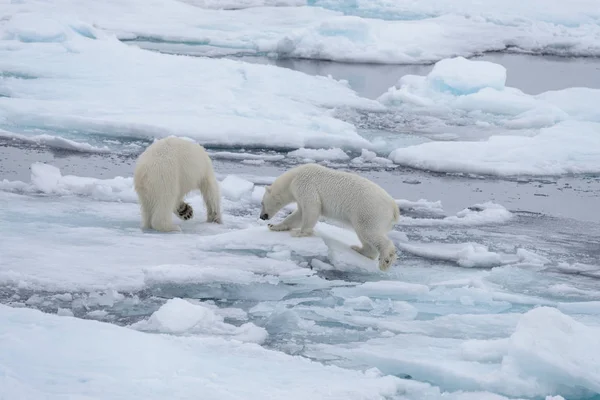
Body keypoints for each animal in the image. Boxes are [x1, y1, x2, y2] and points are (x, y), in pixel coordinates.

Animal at [258, 163, 398, 272]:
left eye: (262, 203)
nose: (262, 216)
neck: (293, 177)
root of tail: (393, 207)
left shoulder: (305, 185)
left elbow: (311, 208)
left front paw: (299, 232)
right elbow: (299, 214)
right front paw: (274, 226)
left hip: (369, 210)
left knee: (370, 232)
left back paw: (385, 260)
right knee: (364, 235)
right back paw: (359, 249)